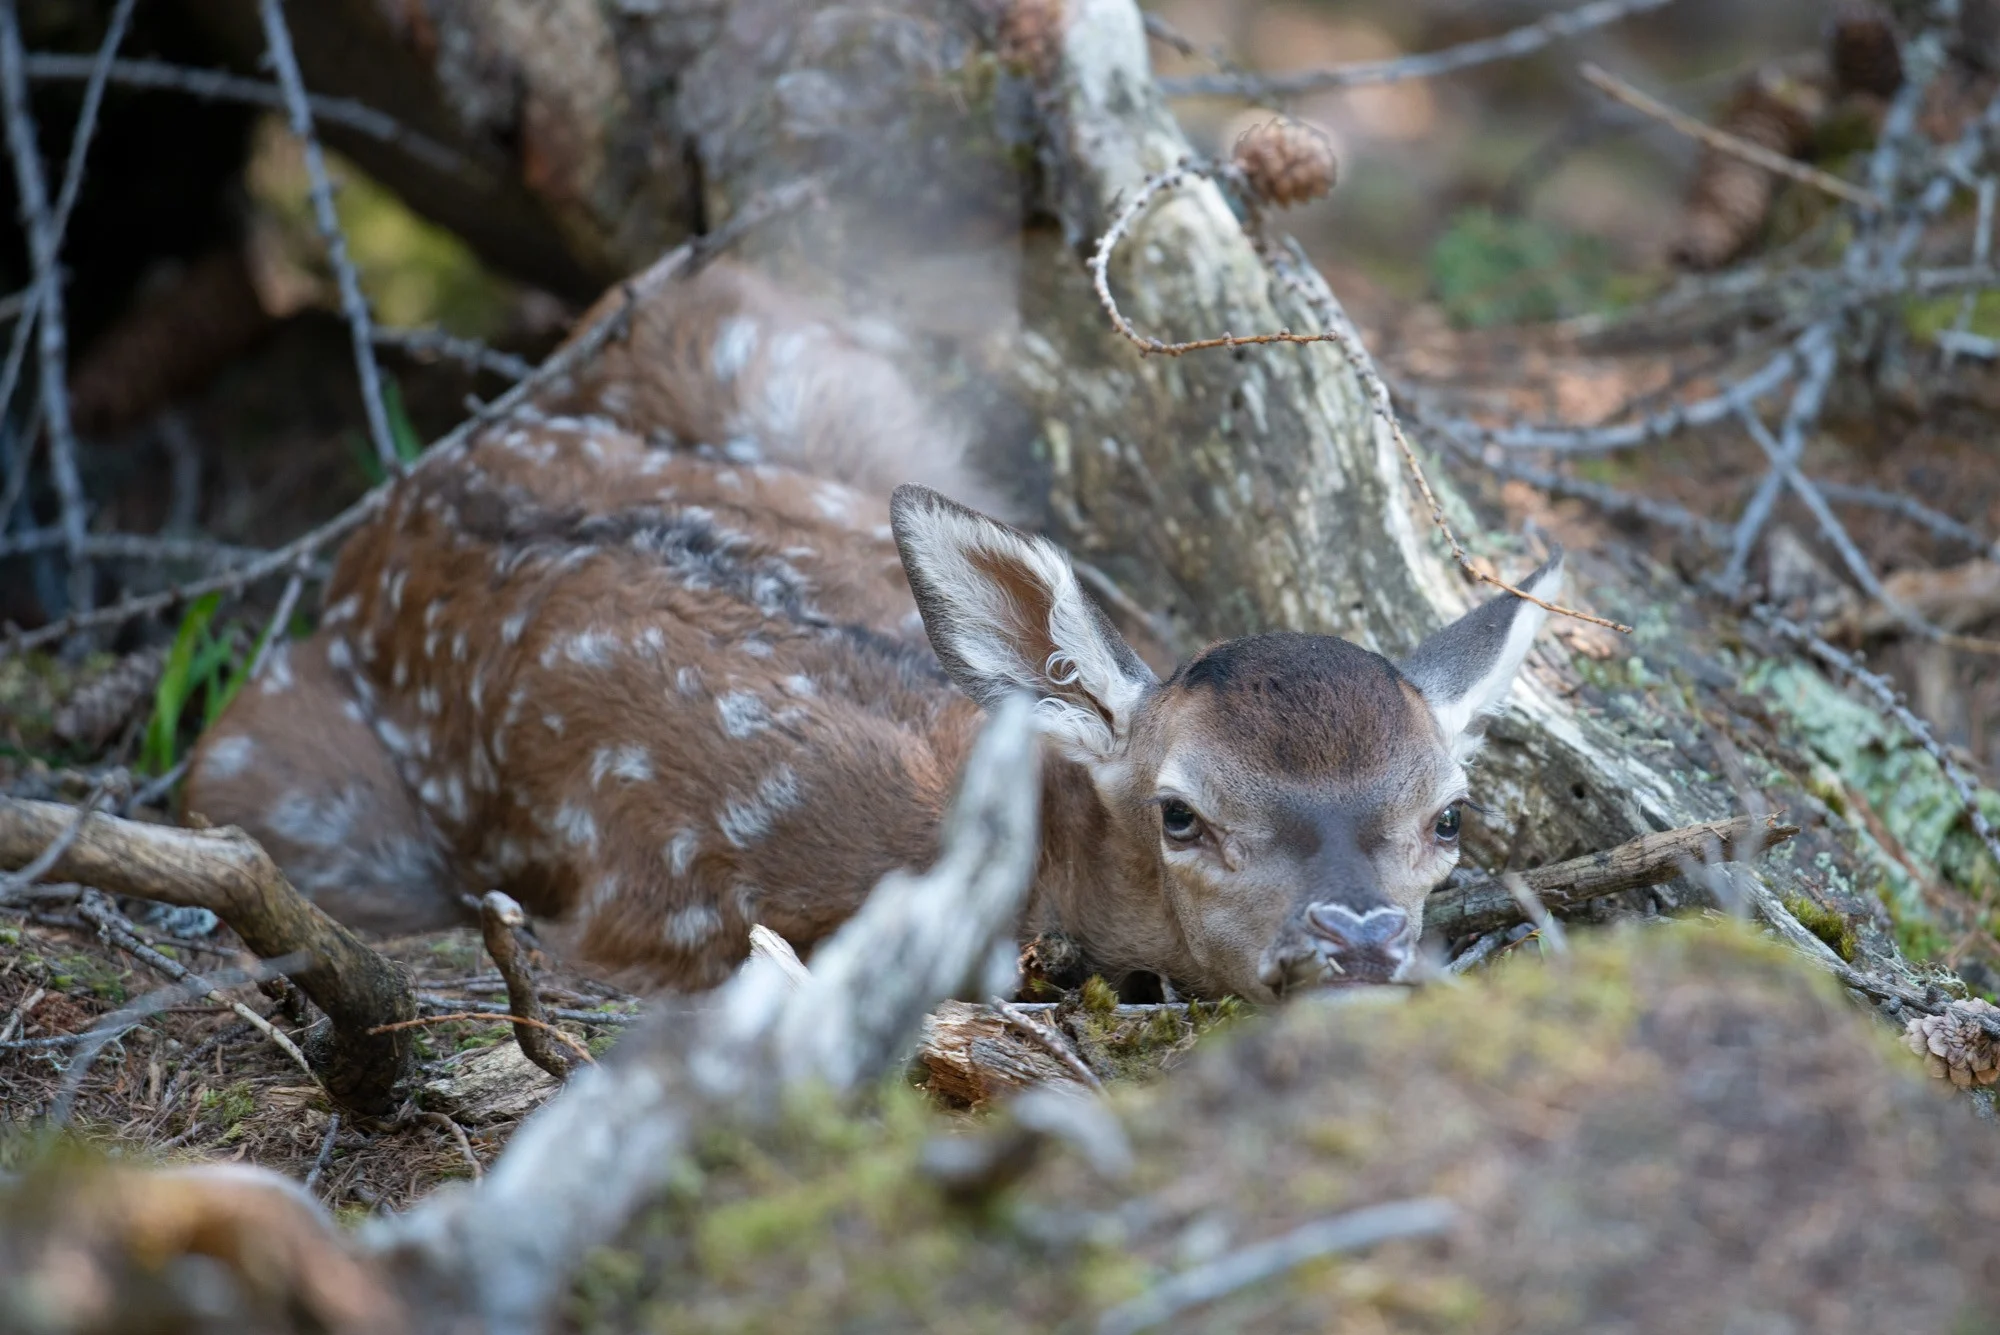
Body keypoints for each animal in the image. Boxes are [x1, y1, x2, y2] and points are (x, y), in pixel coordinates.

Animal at [184, 258, 1563, 1002]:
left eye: (1450, 816)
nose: (1360, 934)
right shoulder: (646, 927)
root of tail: (403, 499)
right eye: (1181, 814)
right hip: (264, 780)